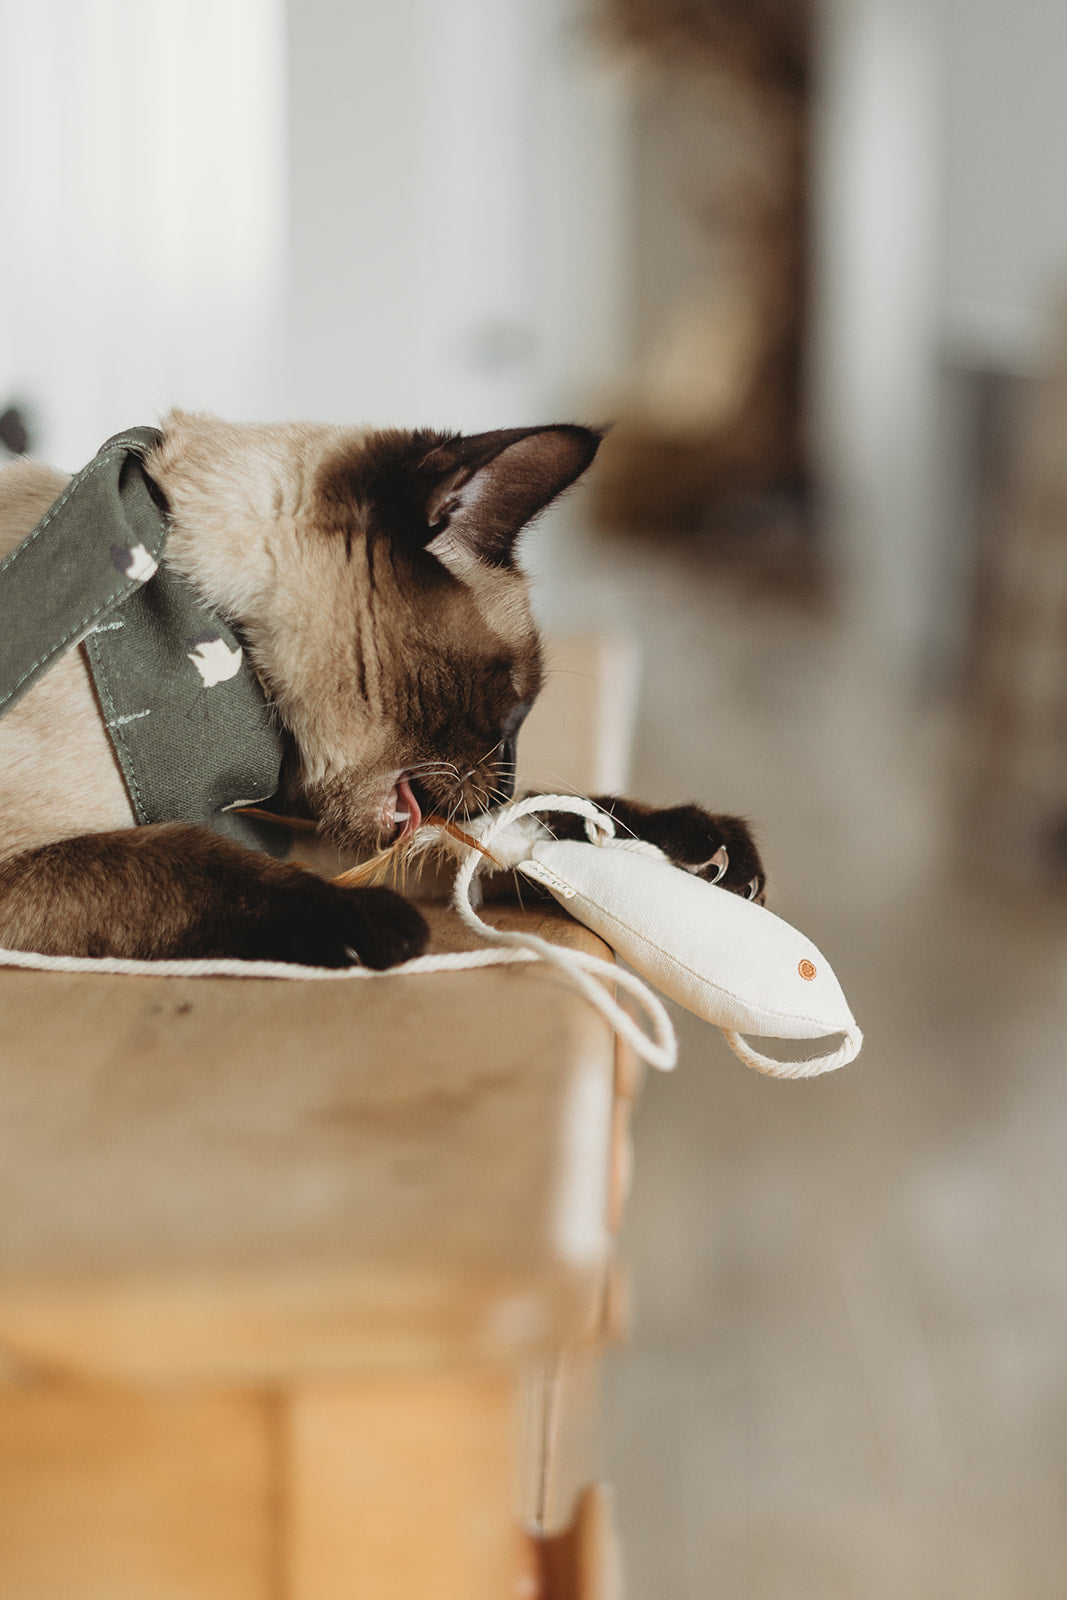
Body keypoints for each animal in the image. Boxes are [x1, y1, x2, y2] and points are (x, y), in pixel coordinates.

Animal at [0, 409, 764, 960]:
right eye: (512, 707)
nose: (506, 784)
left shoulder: (294, 826)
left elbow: (509, 836)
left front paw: (687, 848)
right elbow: (189, 860)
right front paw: (373, 924)